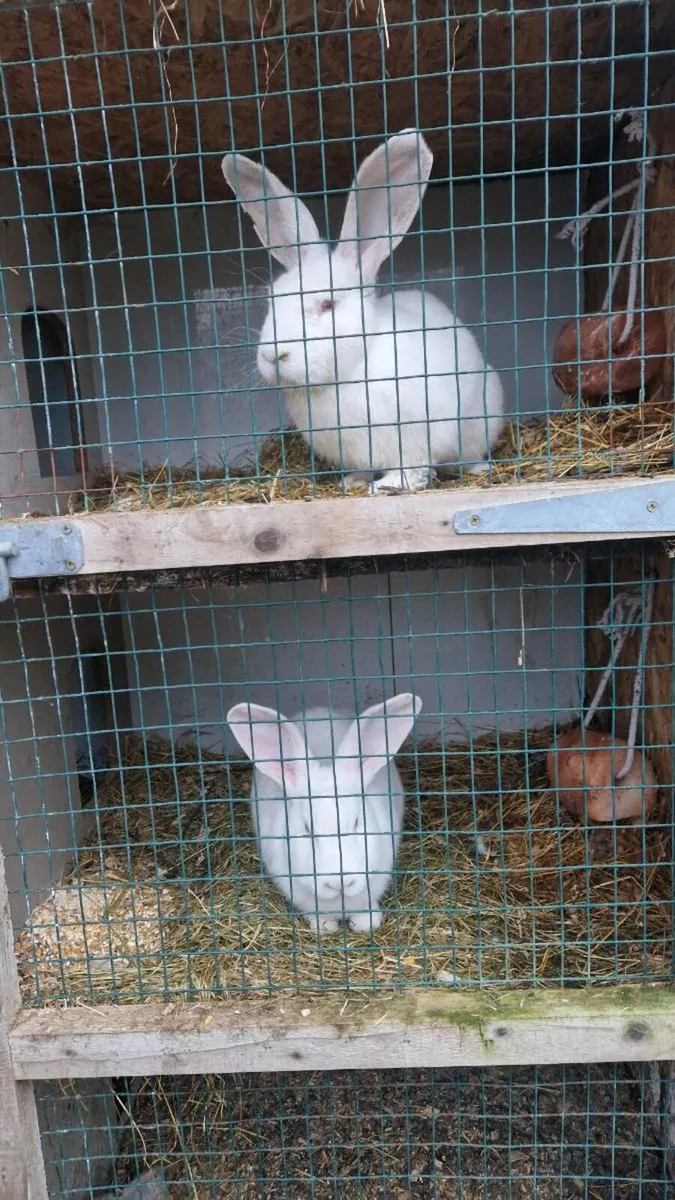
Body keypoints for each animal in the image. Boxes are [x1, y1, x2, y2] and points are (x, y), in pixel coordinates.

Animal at [221, 130, 505, 493]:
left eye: (327, 304)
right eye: (272, 298)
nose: (275, 355)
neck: (349, 373)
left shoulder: (416, 435)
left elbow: (413, 468)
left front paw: (388, 486)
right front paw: (354, 482)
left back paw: (478, 468)